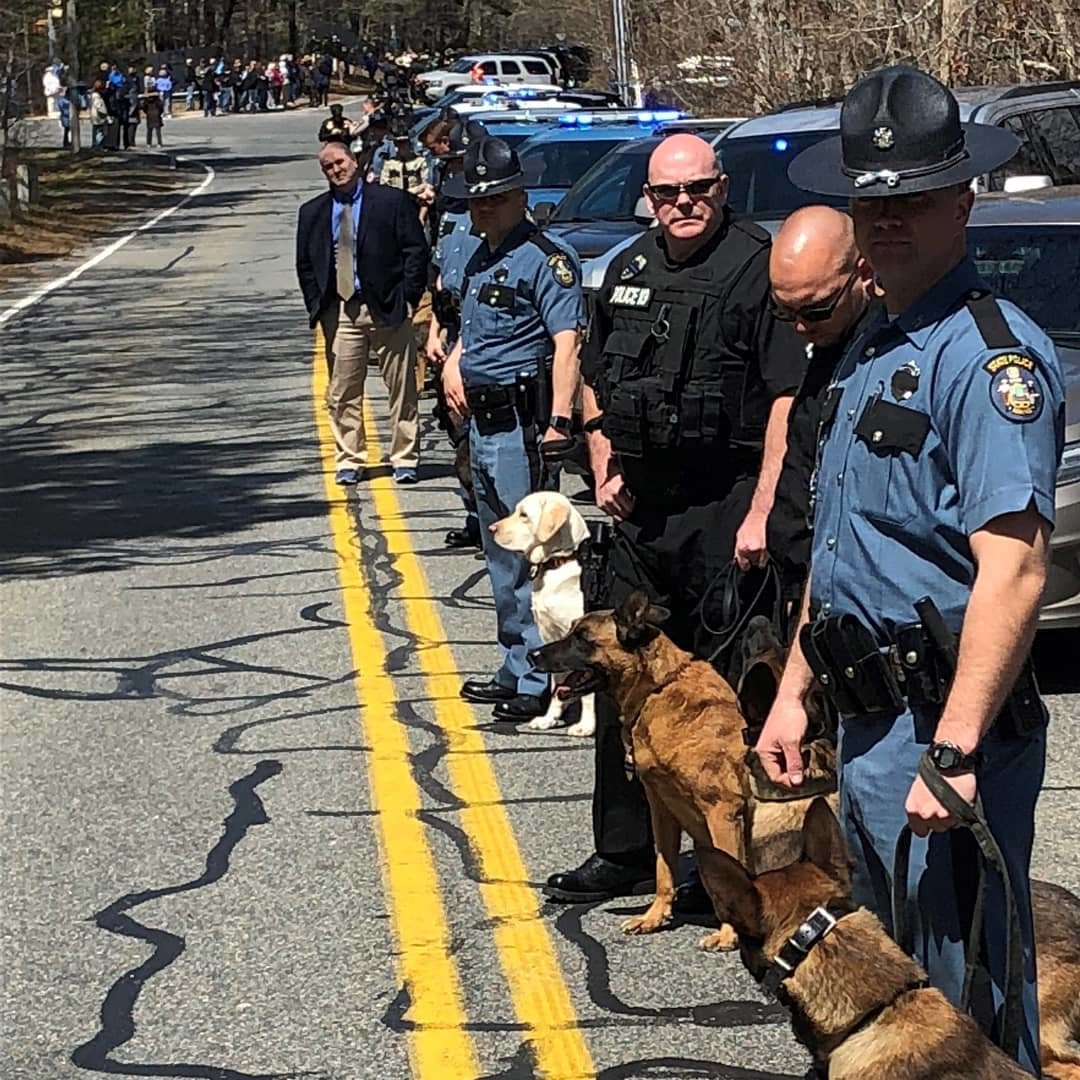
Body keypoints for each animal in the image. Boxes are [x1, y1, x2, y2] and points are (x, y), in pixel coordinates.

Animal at [492, 492, 596, 734]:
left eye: (524, 515)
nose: (492, 528)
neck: (558, 564)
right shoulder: (553, 639)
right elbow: (556, 686)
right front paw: (549, 718)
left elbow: (587, 691)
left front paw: (586, 726)